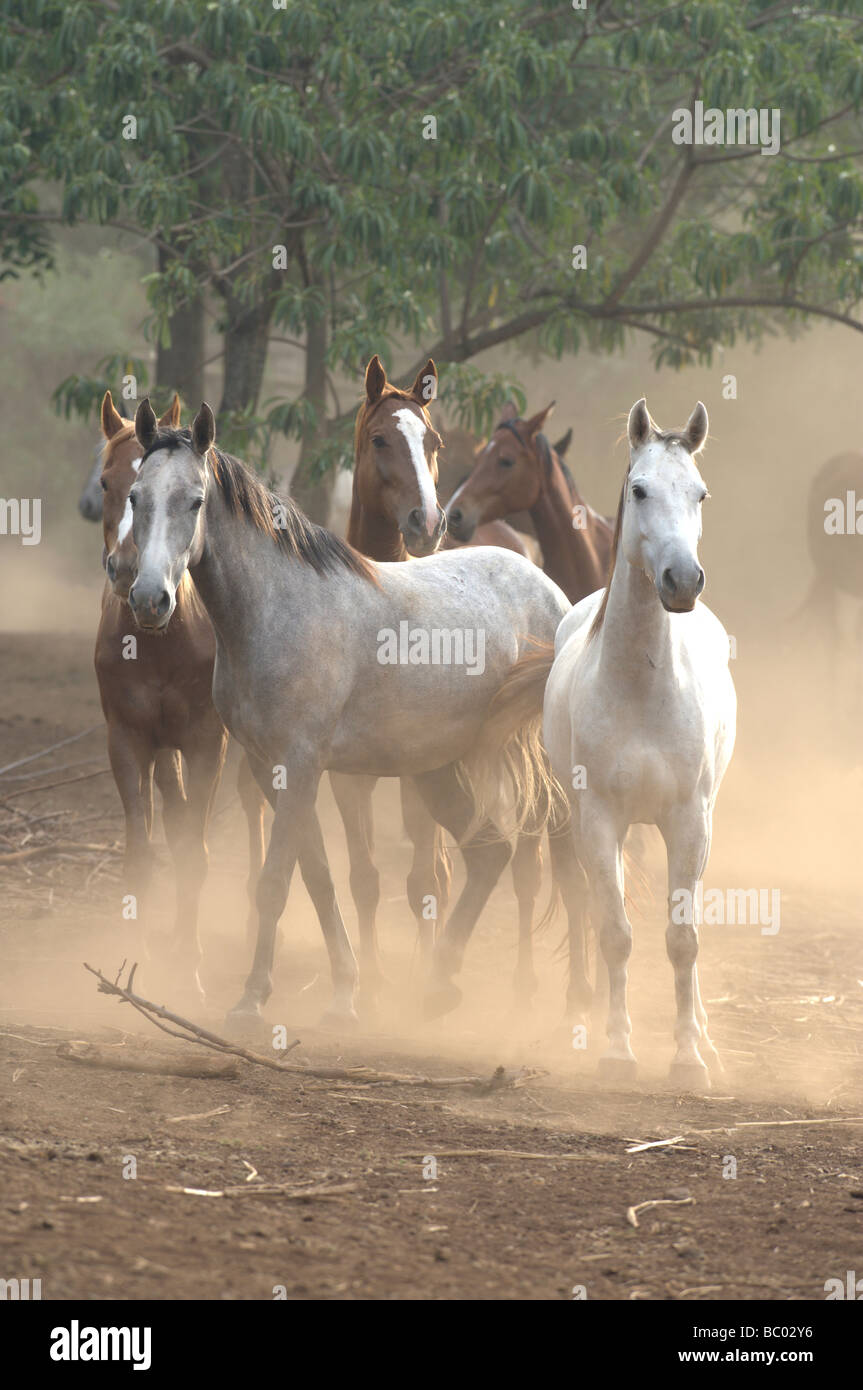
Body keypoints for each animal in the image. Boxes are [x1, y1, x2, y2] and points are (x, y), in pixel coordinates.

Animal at [94, 391, 262, 1000]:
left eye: (194, 502)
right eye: (110, 485)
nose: (132, 579)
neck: (161, 641)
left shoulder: (206, 743)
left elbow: (195, 853)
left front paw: (188, 969)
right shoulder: (129, 742)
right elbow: (142, 853)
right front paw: (135, 960)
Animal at [544, 397, 733, 1089]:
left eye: (700, 493)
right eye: (640, 489)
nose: (682, 581)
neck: (642, 687)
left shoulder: (689, 822)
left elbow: (684, 940)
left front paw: (688, 1060)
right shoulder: (599, 820)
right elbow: (616, 932)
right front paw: (618, 1052)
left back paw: (706, 1038)